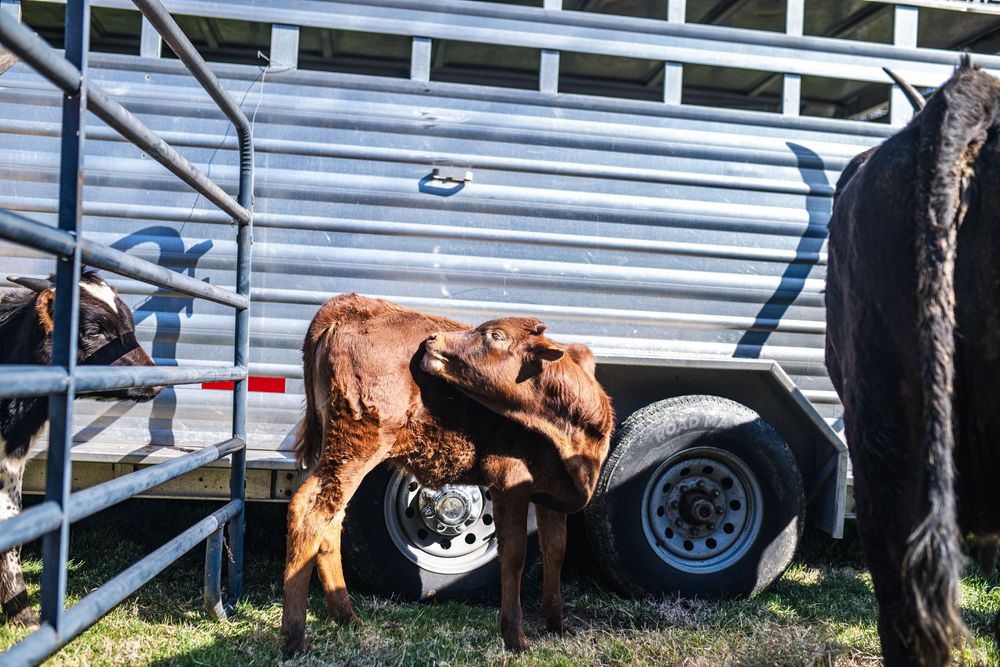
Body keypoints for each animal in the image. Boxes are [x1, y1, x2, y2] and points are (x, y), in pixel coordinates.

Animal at [281, 293, 614, 654]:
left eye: (495, 335)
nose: (433, 338)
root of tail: (350, 305)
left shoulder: (551, 493)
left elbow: (556, 550)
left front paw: (557, 626)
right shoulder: (510, 480)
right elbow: (514, 555)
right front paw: (515, 637)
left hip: (335, 448)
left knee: (330, 516)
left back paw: (346, 618)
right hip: (357, 443)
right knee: (312, 513)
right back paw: (294, 638)